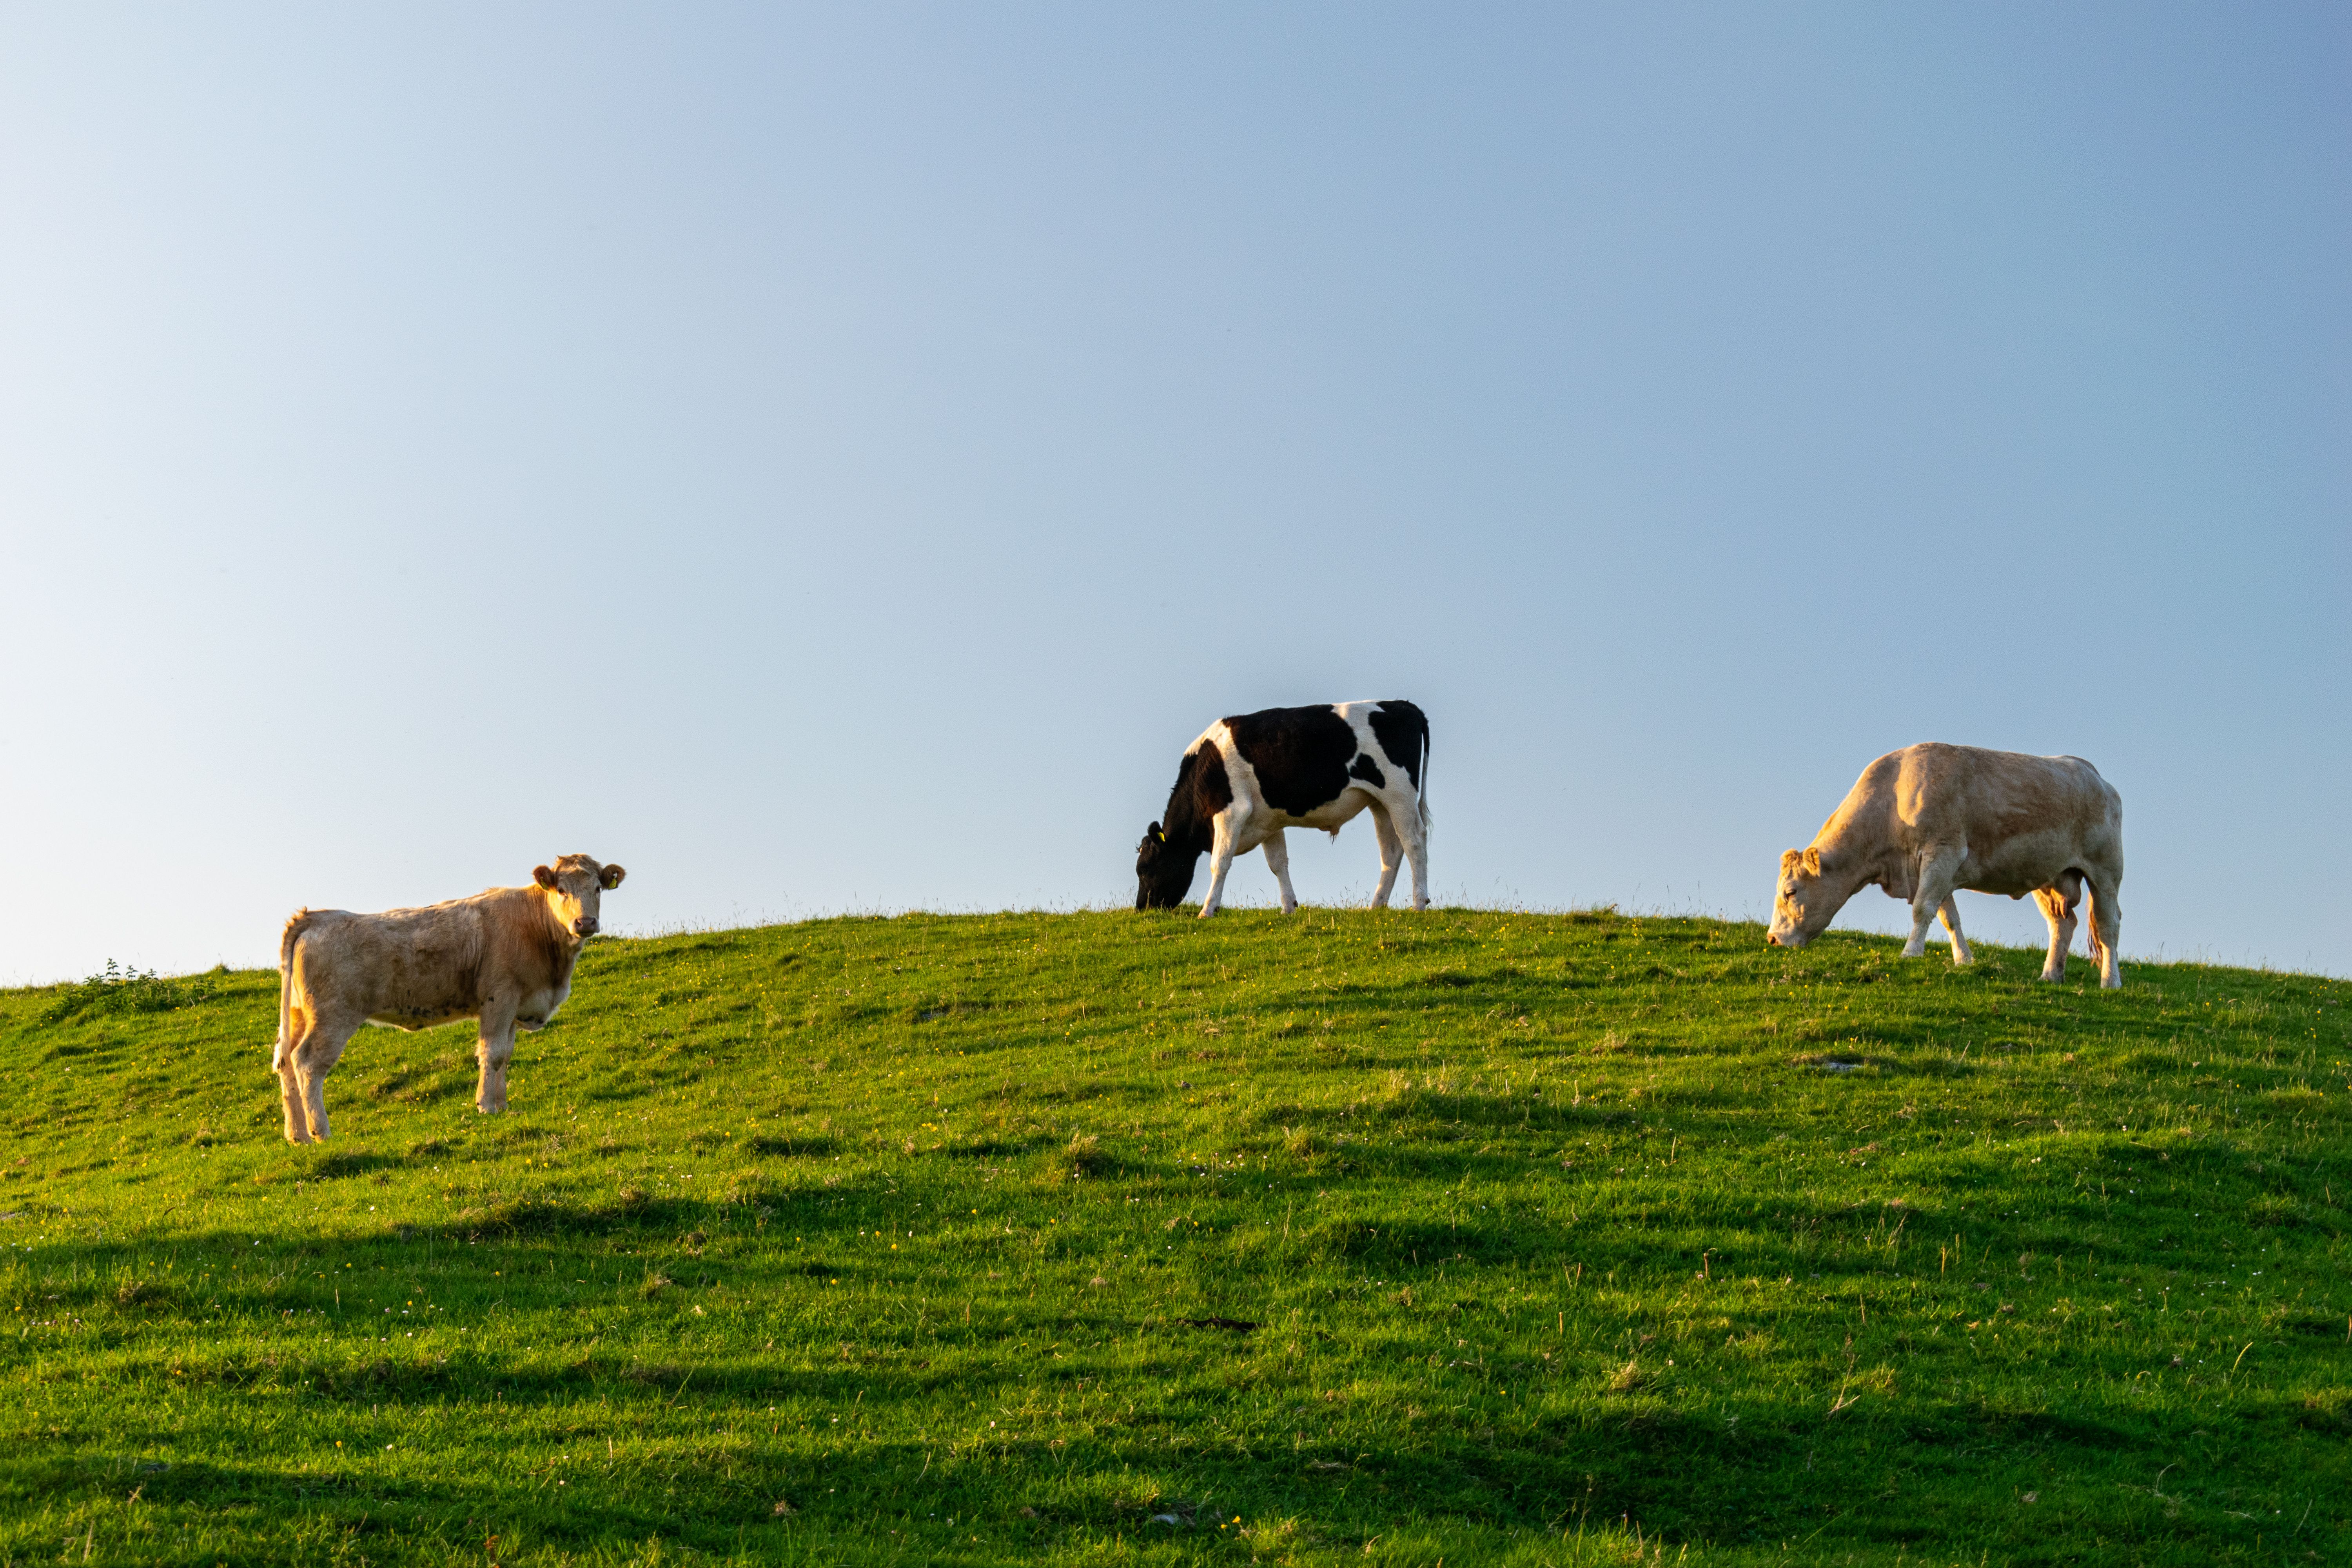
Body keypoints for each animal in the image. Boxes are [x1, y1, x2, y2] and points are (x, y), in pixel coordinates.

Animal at [271, 854, 626, 1143]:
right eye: (561, 890)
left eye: (598, 888)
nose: (585, 922)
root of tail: (318, 916)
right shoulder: (500, 997)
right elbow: (492, 1053)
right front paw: (487, 1107)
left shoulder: (514, 1004)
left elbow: (506, 1055)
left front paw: (503, 1105)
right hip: (333, 1015)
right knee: (307, 1063)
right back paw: (321, 1132)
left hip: (300, 1013)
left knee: (285, 1061)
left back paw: (297, 1135)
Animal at [1136, 700, 1430, 917]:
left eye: (1147, 868)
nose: (1141, 909)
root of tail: (1401, 704)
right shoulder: (1268, 821)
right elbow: (1278, 864)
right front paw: (1289, 908)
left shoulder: (1230, 812)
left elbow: (1219, 863)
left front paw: (1207, 910)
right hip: (1380, 803)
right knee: (1391, 851)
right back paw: (1376, 906)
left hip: (1399, 794)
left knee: (1414, 841)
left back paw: (1419, 904)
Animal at [1766, 744, 2123, 987]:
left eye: (1790, 892)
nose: (1772, 939)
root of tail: (2096, 776)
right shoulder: (1931, 869)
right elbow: (1948, 917)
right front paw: (1964, 960)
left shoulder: (1943, 854)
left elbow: (1923, 909)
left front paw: (1911, 953)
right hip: (2049, 877)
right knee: (2062, 923)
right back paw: (2050, 976)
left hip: (2105, 870)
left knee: (2108, 924)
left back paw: (2111, 982)